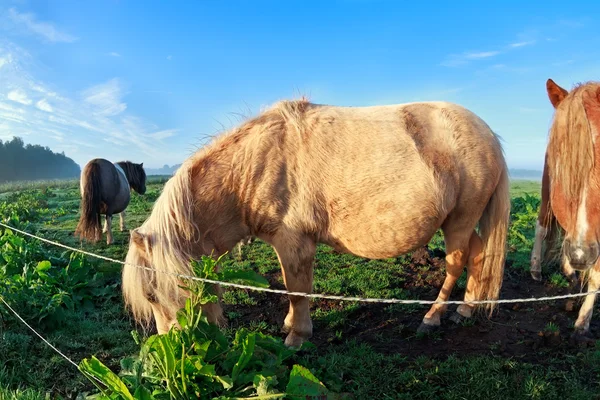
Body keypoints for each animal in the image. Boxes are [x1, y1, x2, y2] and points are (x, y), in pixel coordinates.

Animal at [122, 98, 510, 348]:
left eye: (153, 294)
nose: (173, 347)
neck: (251, 167)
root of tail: (488, 134)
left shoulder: (294, 242)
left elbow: (297, 289)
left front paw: (297, 336)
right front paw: (291, 325)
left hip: (460, 221)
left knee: (457, 262)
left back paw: (433, 316)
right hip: (460, 222)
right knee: (478, 255)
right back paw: (465, 308)